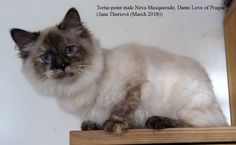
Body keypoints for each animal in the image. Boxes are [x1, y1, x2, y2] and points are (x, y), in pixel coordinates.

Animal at [10, 7, 228, 134]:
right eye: (47, 57)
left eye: (69, 50)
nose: (62, 65)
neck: (79, 88)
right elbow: (95, 118)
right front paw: (92, 126)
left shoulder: (134, 81)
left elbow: (122, 110)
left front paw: (113, 125)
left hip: (191, 111)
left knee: (202, 125)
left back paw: (157, 121)